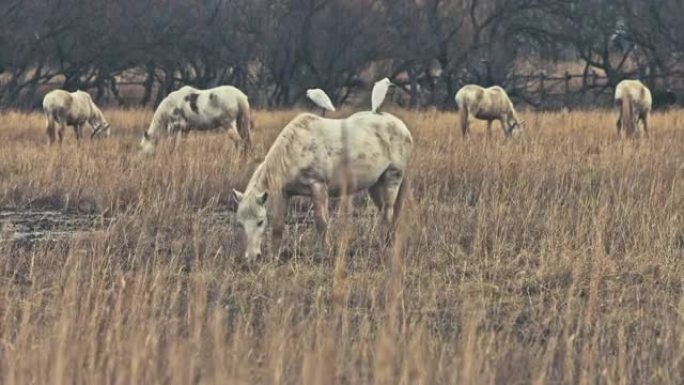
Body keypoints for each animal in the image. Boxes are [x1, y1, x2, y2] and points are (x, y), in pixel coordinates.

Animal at [232, 111, 414, 260]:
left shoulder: (318, 187)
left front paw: (325, 254)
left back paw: (384, 247)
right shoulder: (285, 192)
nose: (251, 258)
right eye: (240, 224)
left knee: (388, 212)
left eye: (260, 222)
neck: (295, 150)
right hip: (376, 184)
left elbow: (321, 223)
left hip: (392, 178)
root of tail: (402, 127)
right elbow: (278, 226)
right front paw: (274, 257)